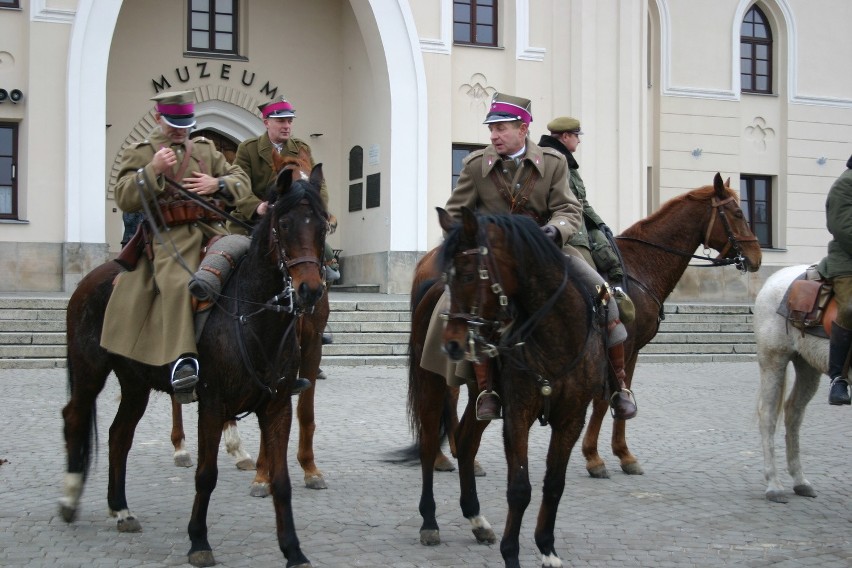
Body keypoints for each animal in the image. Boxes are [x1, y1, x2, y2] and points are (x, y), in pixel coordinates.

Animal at [60, 164, 332, 568]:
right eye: (284, 224)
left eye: (322, 224)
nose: (310, 290)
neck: (250, 316)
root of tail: (90, 279)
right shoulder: (213, 405)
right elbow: (206, 474)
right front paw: (199, 541)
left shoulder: (278, 406)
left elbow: (281, 480)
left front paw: (293, 550)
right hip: (89, 372)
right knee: (75, 417)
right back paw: (69, 497)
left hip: (136, 385)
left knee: (118, 435)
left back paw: (121, 509)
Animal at [408, 206, 612, 564]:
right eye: (451, 275)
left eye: (468, 275)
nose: (452, 344)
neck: (556, 335)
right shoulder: (518, 415)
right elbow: (519, 488)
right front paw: (511, 554)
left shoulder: (571, 419)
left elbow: (554, 484)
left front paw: (547, 549)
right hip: (431, 384)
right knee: (430, 445)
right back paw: (429, 522)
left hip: (480, 397)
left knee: (465, 442)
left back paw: (476, 519)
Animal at [756, 264, 836, 504]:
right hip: (774, 359)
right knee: (768, 415)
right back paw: (774, 485)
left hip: (807, 364)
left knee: (793, 413)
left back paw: (800, 481)